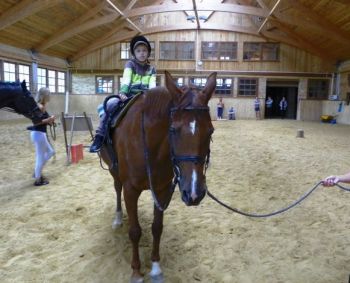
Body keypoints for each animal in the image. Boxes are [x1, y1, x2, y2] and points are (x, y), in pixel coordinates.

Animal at [100, 71, 217, 283]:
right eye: (173, 130)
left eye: (210, 131)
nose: (193, 193)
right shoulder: (131, 190)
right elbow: (135, 231)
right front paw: (136, 272)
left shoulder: (162, 189)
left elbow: (157, 227)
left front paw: (155, 268)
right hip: (115, 172)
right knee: (117, 189)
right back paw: (118, 219)